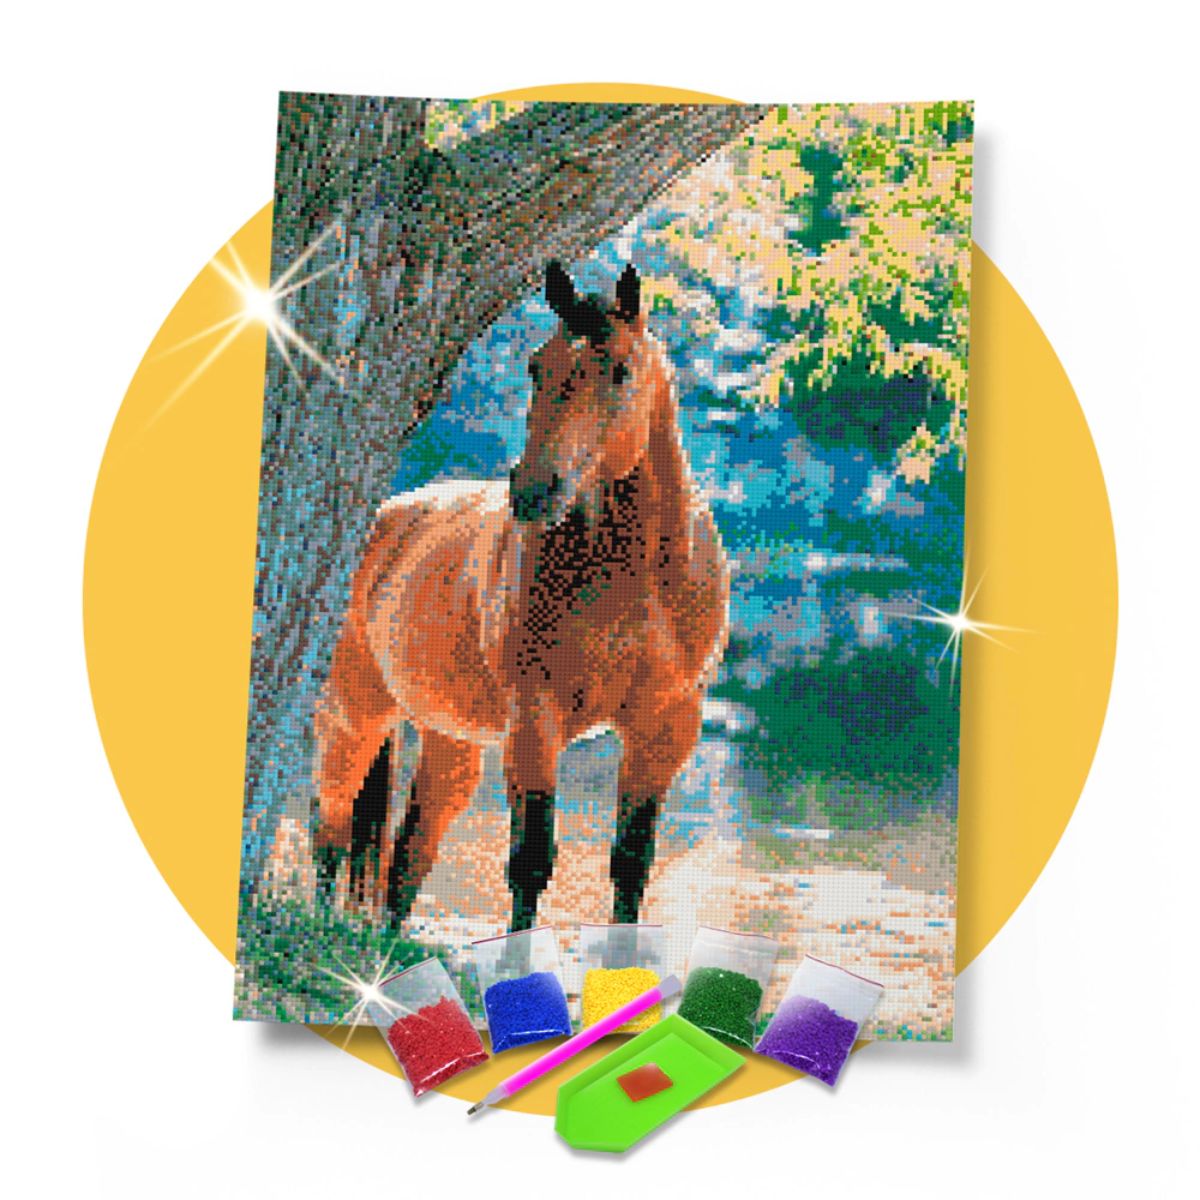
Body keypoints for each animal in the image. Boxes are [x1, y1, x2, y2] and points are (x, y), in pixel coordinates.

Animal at [312, 260, 730, 931]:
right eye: (538, 365)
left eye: (620, 370)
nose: (535, 491)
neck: (640, 580)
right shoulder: (536, 719)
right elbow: (531, 860)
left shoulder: (665, 726)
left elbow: (631, 865)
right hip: (356, 716)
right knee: (329, 825)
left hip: (450, 741)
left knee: (410, 851)